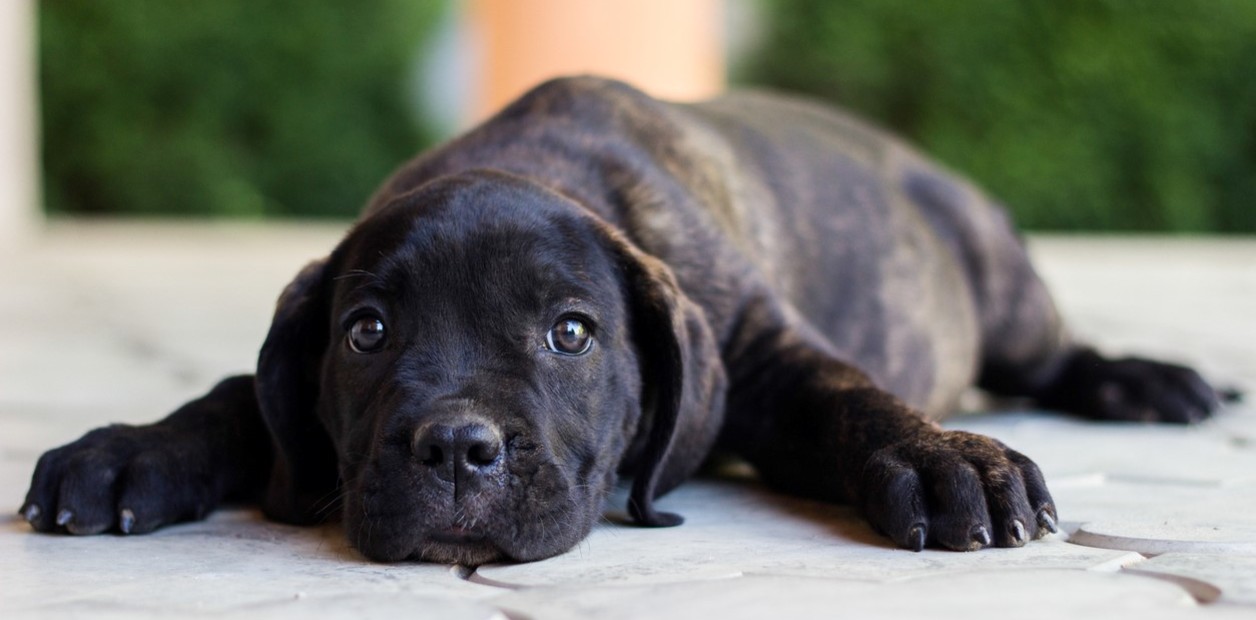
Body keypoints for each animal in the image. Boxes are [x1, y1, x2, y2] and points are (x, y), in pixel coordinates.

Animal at [14, 76, 1220, 562]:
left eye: (571, 333)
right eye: (365, 333)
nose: (456, 448)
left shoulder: (768, 356)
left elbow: (852, 397)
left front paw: (943, 460)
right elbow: (239, 398)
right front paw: (130, 451)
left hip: (1004, 288)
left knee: (1051, 352)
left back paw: (1140, 380)